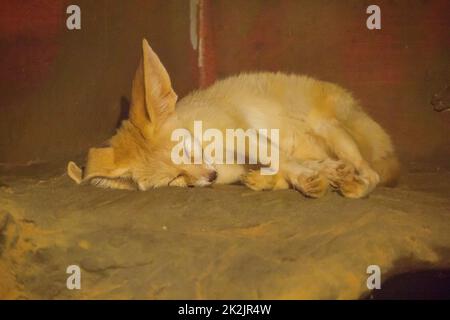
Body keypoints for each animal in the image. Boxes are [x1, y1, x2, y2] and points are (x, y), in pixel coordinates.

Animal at [66, 38, 398, 199]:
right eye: (175, 179)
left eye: (185, 152)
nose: (210, 178)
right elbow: (285, 163)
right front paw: (308, 176)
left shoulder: (244, 135)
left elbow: (278, 157)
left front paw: (305, 176)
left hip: (332, 131)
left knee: (373, 174)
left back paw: (354, 184)